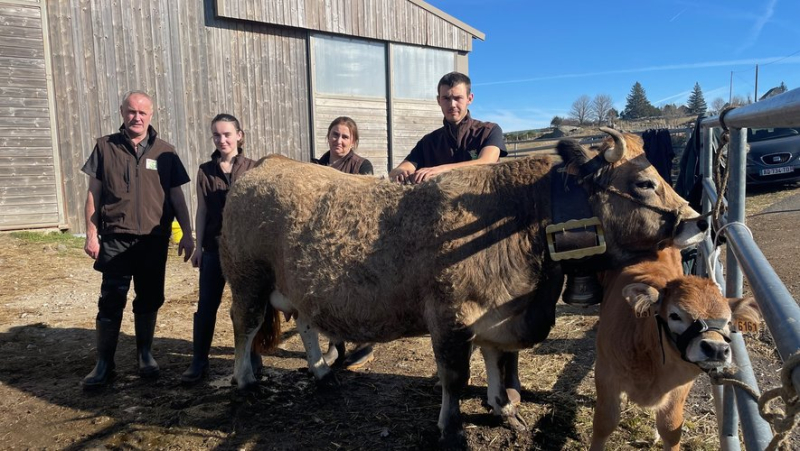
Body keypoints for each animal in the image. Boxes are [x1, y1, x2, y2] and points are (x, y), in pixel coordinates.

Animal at [220, 129, 708, 446]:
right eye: (643, 182)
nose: (699, 220)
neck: (520, 216)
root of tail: (267, 164)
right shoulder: (450, 319)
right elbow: (455, 378)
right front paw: (452, 429)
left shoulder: (500, 315)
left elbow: (497, 362)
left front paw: (505, 409)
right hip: (247, 279)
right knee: (245, 327)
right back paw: (245, 380)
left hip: (298, 287)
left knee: (304, 325)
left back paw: (322, 371)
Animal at [592, 249, 764, 450]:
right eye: (675, 316)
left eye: (728, 322)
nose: (716, 348)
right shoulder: (605, 373)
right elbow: (604, 423)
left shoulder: (680, 387)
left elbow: (670, 427)